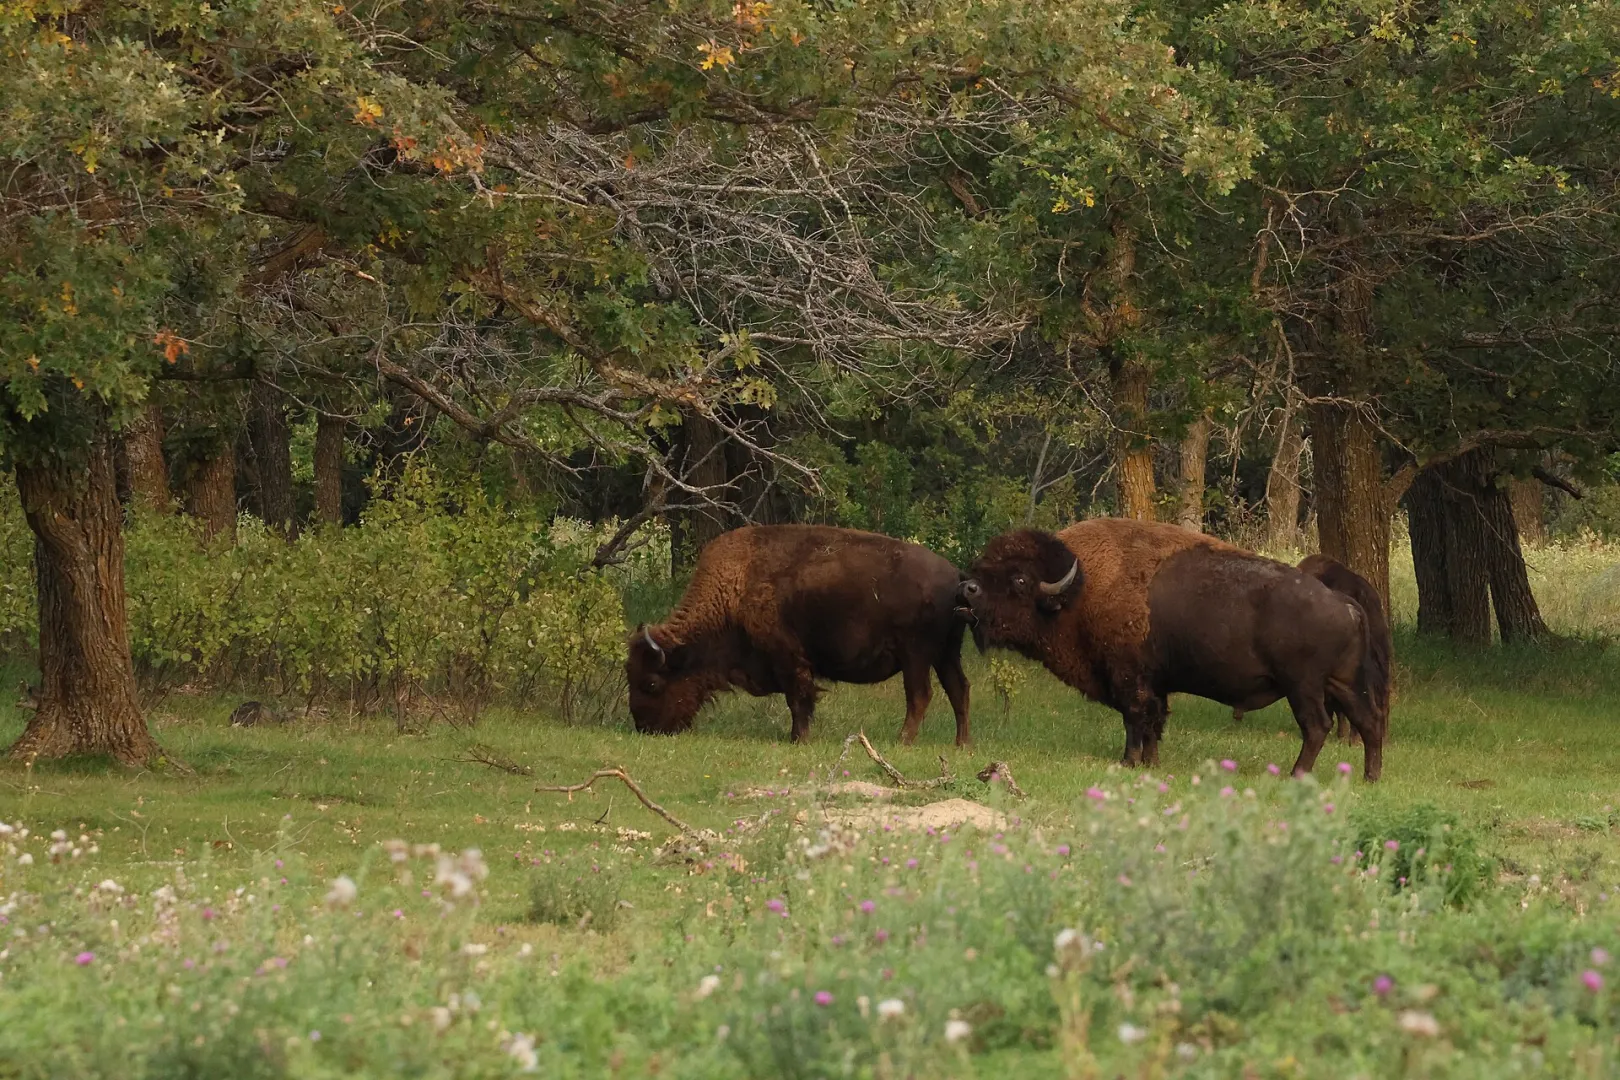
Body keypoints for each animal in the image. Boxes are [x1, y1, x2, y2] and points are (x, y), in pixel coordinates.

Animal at [628, 525, 971, 744]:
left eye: (652, 683)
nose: (644, 727)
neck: (733, 590)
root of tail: (956, 577)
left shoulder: (788, 658)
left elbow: (798, 699)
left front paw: (799, 739)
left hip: (916, 655)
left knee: (920, 696)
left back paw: (902, 741)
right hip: (946, 654)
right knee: (958, 690)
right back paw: (961, 743)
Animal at [957, 519, 1389, 780]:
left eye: (1019, 580)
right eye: (984, 566)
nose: (967, 589)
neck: (1079, 588)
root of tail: (1345, 603)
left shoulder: (1129, 679)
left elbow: (1135, 720)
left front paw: (1128, 762)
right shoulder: (1156, 685)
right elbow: (1154, 723)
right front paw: (1151, 763)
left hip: (1304, 687)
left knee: (1317, 726)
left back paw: (1296, 774)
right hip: (1343, 684)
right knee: (1369, 722)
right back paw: (1370, 777)